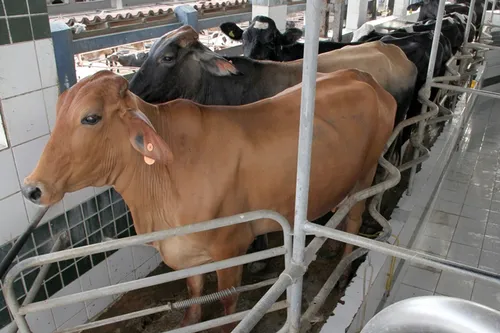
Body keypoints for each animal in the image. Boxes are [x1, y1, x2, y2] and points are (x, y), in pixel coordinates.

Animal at [23, 69, 396, 330]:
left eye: (91, 117)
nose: (32, 188)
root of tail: (361, 76)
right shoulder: (186, 249)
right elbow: (193, 289)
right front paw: (190, 320)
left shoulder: (231, 248)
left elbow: (229, 303)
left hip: (365, 173)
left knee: (354, 218)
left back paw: (344, 269)